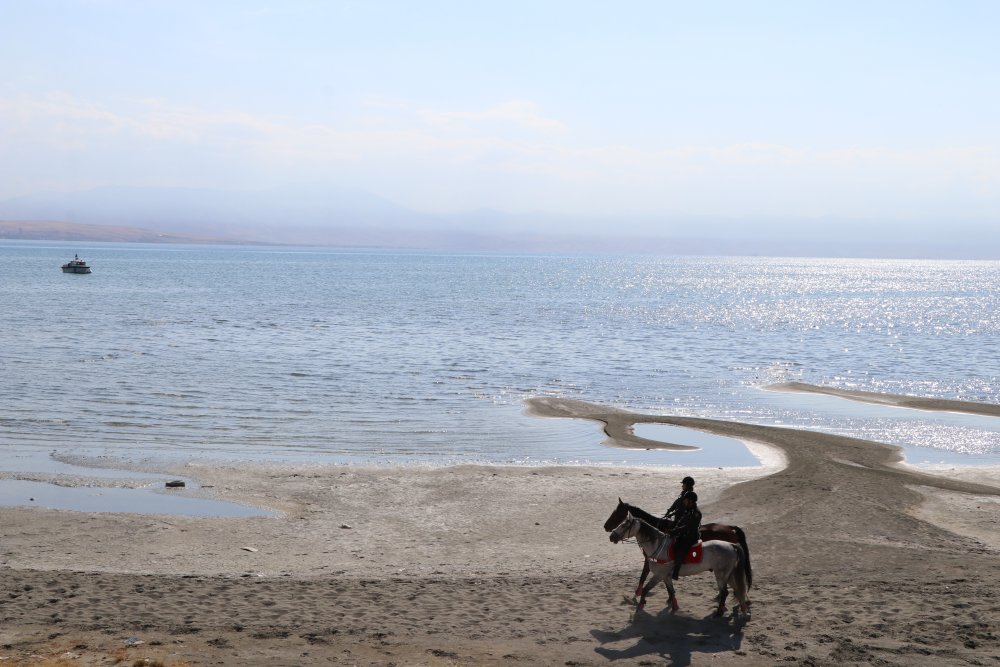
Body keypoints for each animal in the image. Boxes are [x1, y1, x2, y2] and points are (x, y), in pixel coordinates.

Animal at [608, 516, 752, 620]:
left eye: (624, 525)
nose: (611, 536)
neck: (658, 546)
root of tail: (732, 545)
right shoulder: (666, 577)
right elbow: (671, 592)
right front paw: (675, 607)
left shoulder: (659, 575)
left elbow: (646, 589)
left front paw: (640, 606)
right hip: (729, 574)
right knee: (738, 590)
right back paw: (743, 611)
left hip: (721, 575)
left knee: (725, 592)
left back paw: (719, 612)